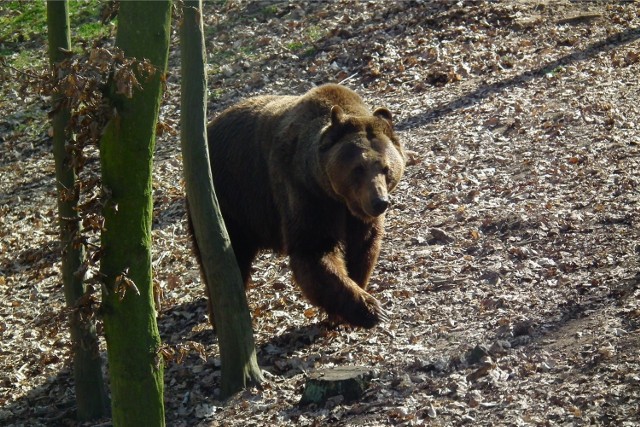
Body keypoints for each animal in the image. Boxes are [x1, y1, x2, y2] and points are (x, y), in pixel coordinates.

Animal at [200, 83, 402, 330]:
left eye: (386, 168)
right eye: (359, 168)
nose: (379, 202)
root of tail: (211, 124)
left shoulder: (356, 214)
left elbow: (363, 246)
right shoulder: (304, 193)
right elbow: (313, 250)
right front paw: (370, 309)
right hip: (230, 197)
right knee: (229, 253)